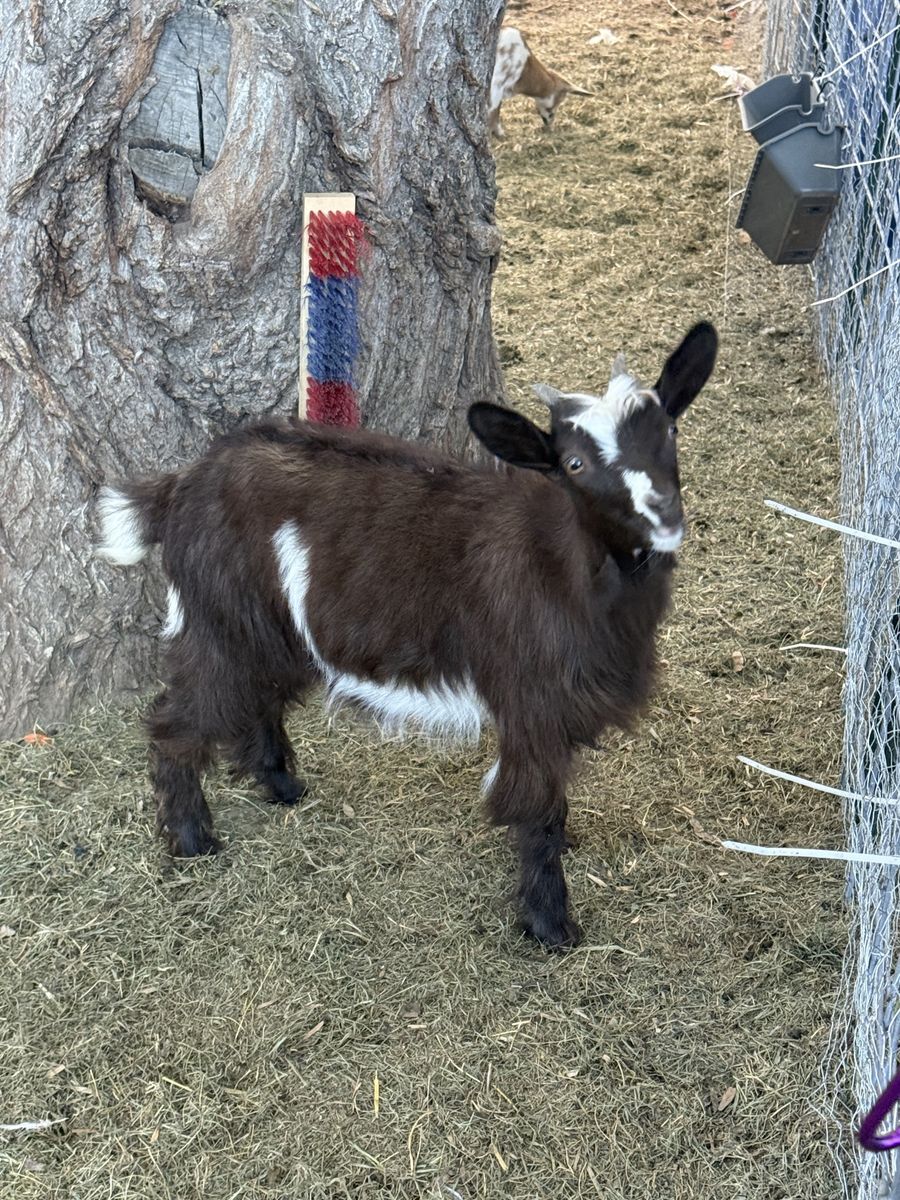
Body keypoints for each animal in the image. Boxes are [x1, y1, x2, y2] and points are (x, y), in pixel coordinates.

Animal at [96, 322, 718, 949]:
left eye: (669, 429)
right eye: (572, 463)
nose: (662, 515)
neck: (569, 566)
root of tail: (180, 485)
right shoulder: (530, 698)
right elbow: (536, 806)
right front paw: (549, 926)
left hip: (268, 630)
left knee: (258, 698)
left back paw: (281, 786)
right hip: (219, 619)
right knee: (174, 722)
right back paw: (193, 839)